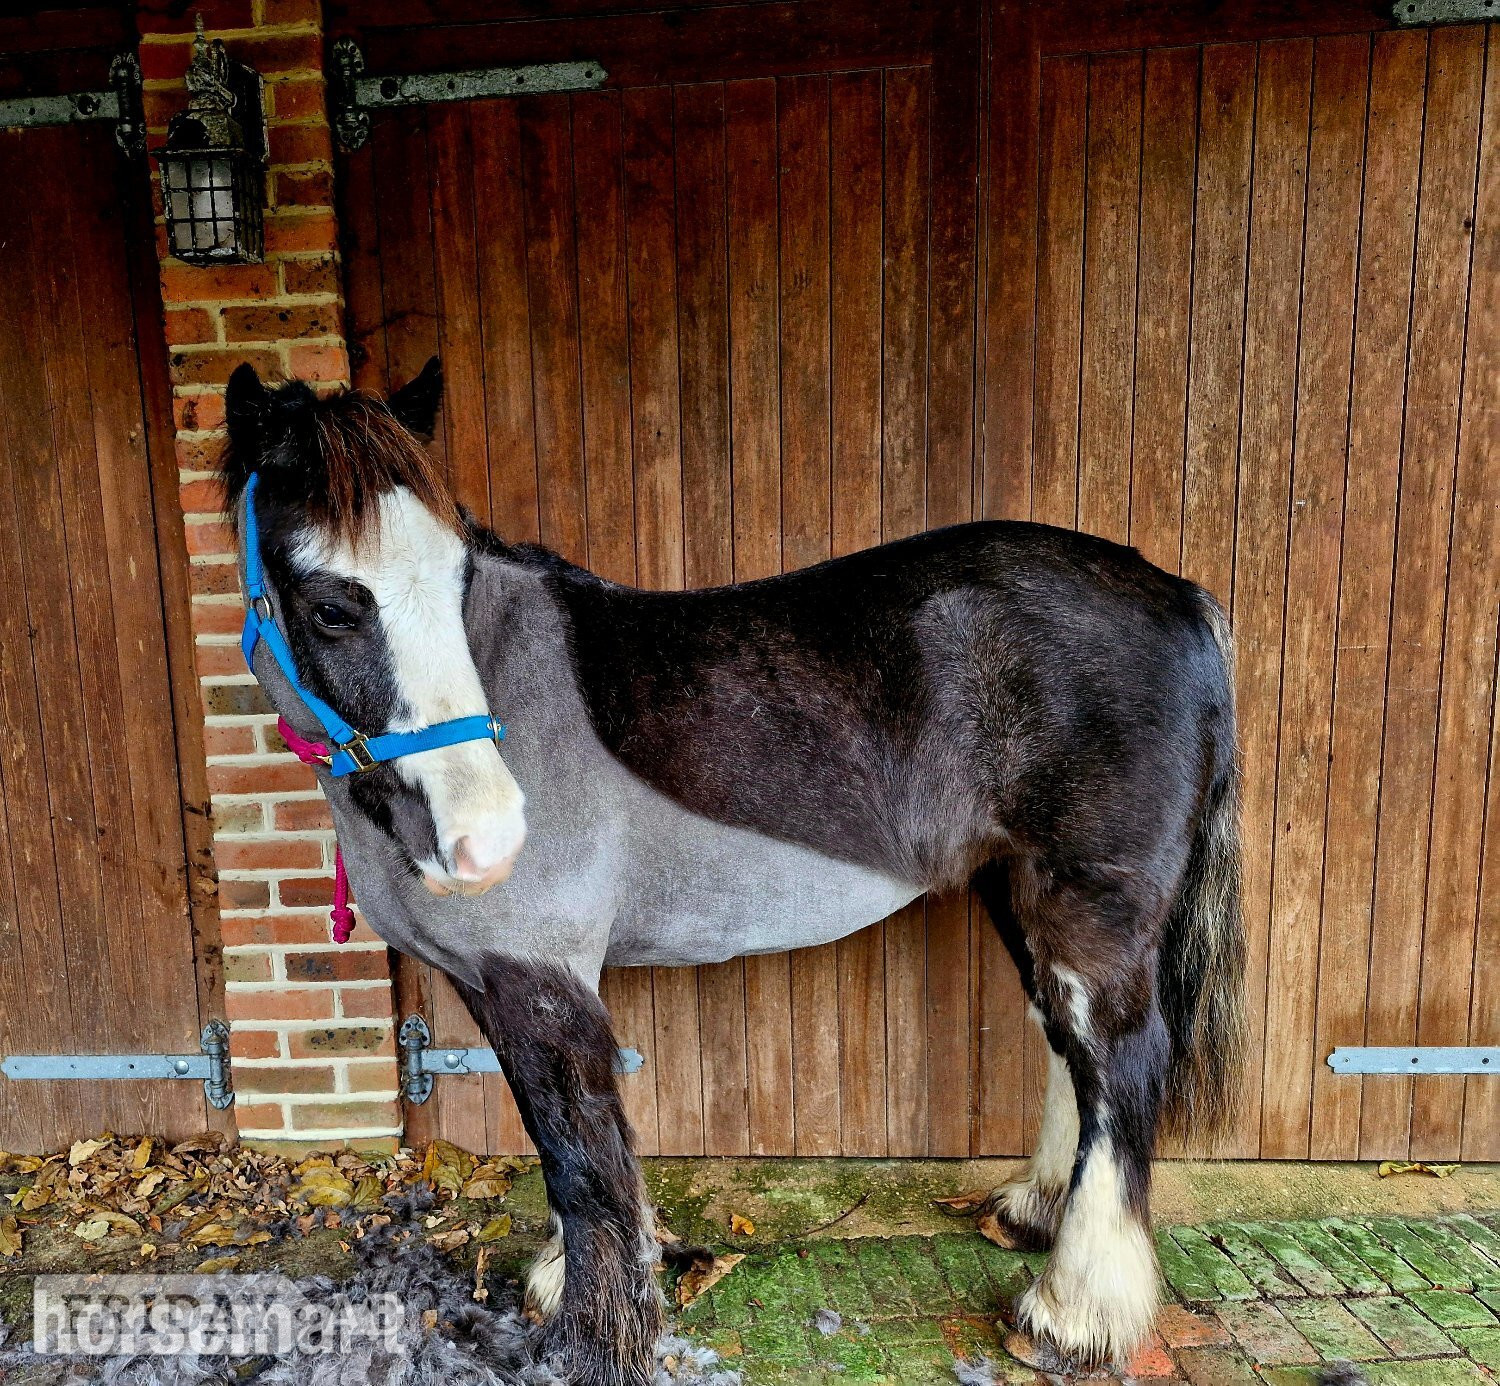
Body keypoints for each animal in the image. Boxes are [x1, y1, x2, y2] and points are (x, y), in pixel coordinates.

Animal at [220, 358, 1245, 1385]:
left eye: (457, 577)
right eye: (332, 607)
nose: (489, 840)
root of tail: (1179, 594)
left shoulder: (539, 980)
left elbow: (580, 1157)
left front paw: (598, 1336)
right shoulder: (499, 985)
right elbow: (560, 1141)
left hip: (1092, 901)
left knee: (1120, 1057)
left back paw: (1074, 1314)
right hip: (1017, 884)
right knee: (1069, 1044)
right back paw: (1035, 1212)